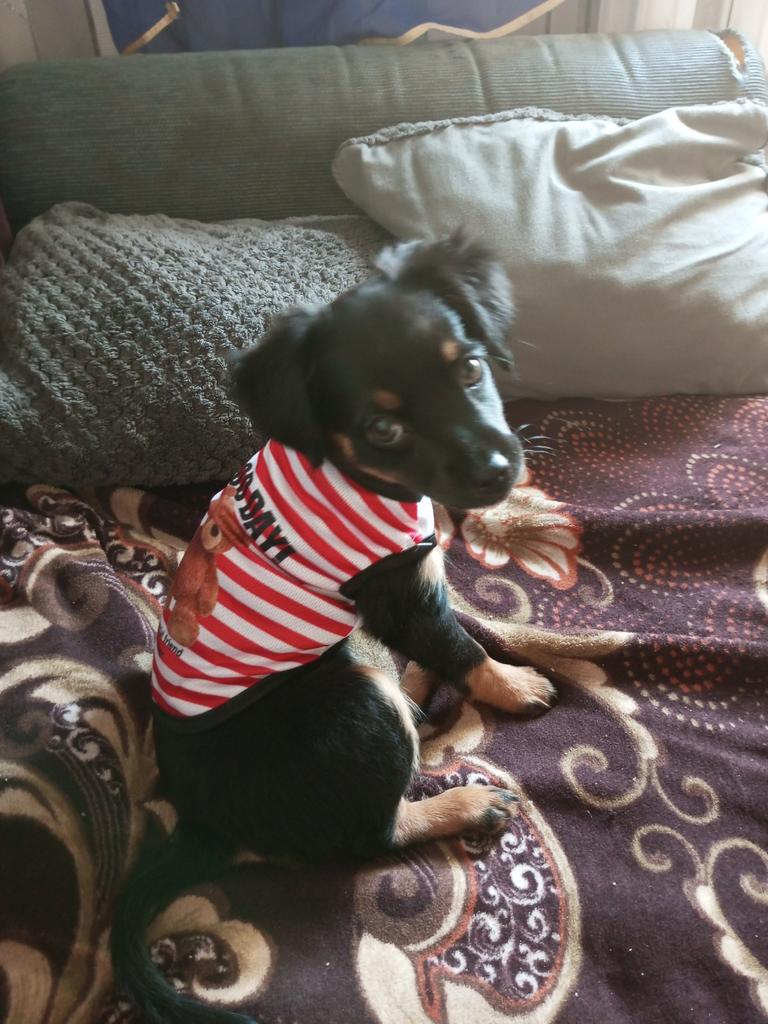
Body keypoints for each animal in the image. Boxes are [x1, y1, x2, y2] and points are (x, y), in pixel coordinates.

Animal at [111, 233, 556, 1024]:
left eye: (471, 368)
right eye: (384, 428)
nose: (497, 472)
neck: (372, 480)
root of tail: (201, 821)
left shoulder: (418, 575)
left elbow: (455, 620)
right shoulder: (396, 591)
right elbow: (462, 645)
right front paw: (511, 683)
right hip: (354, 702)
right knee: (373, 832)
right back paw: (467, 801)